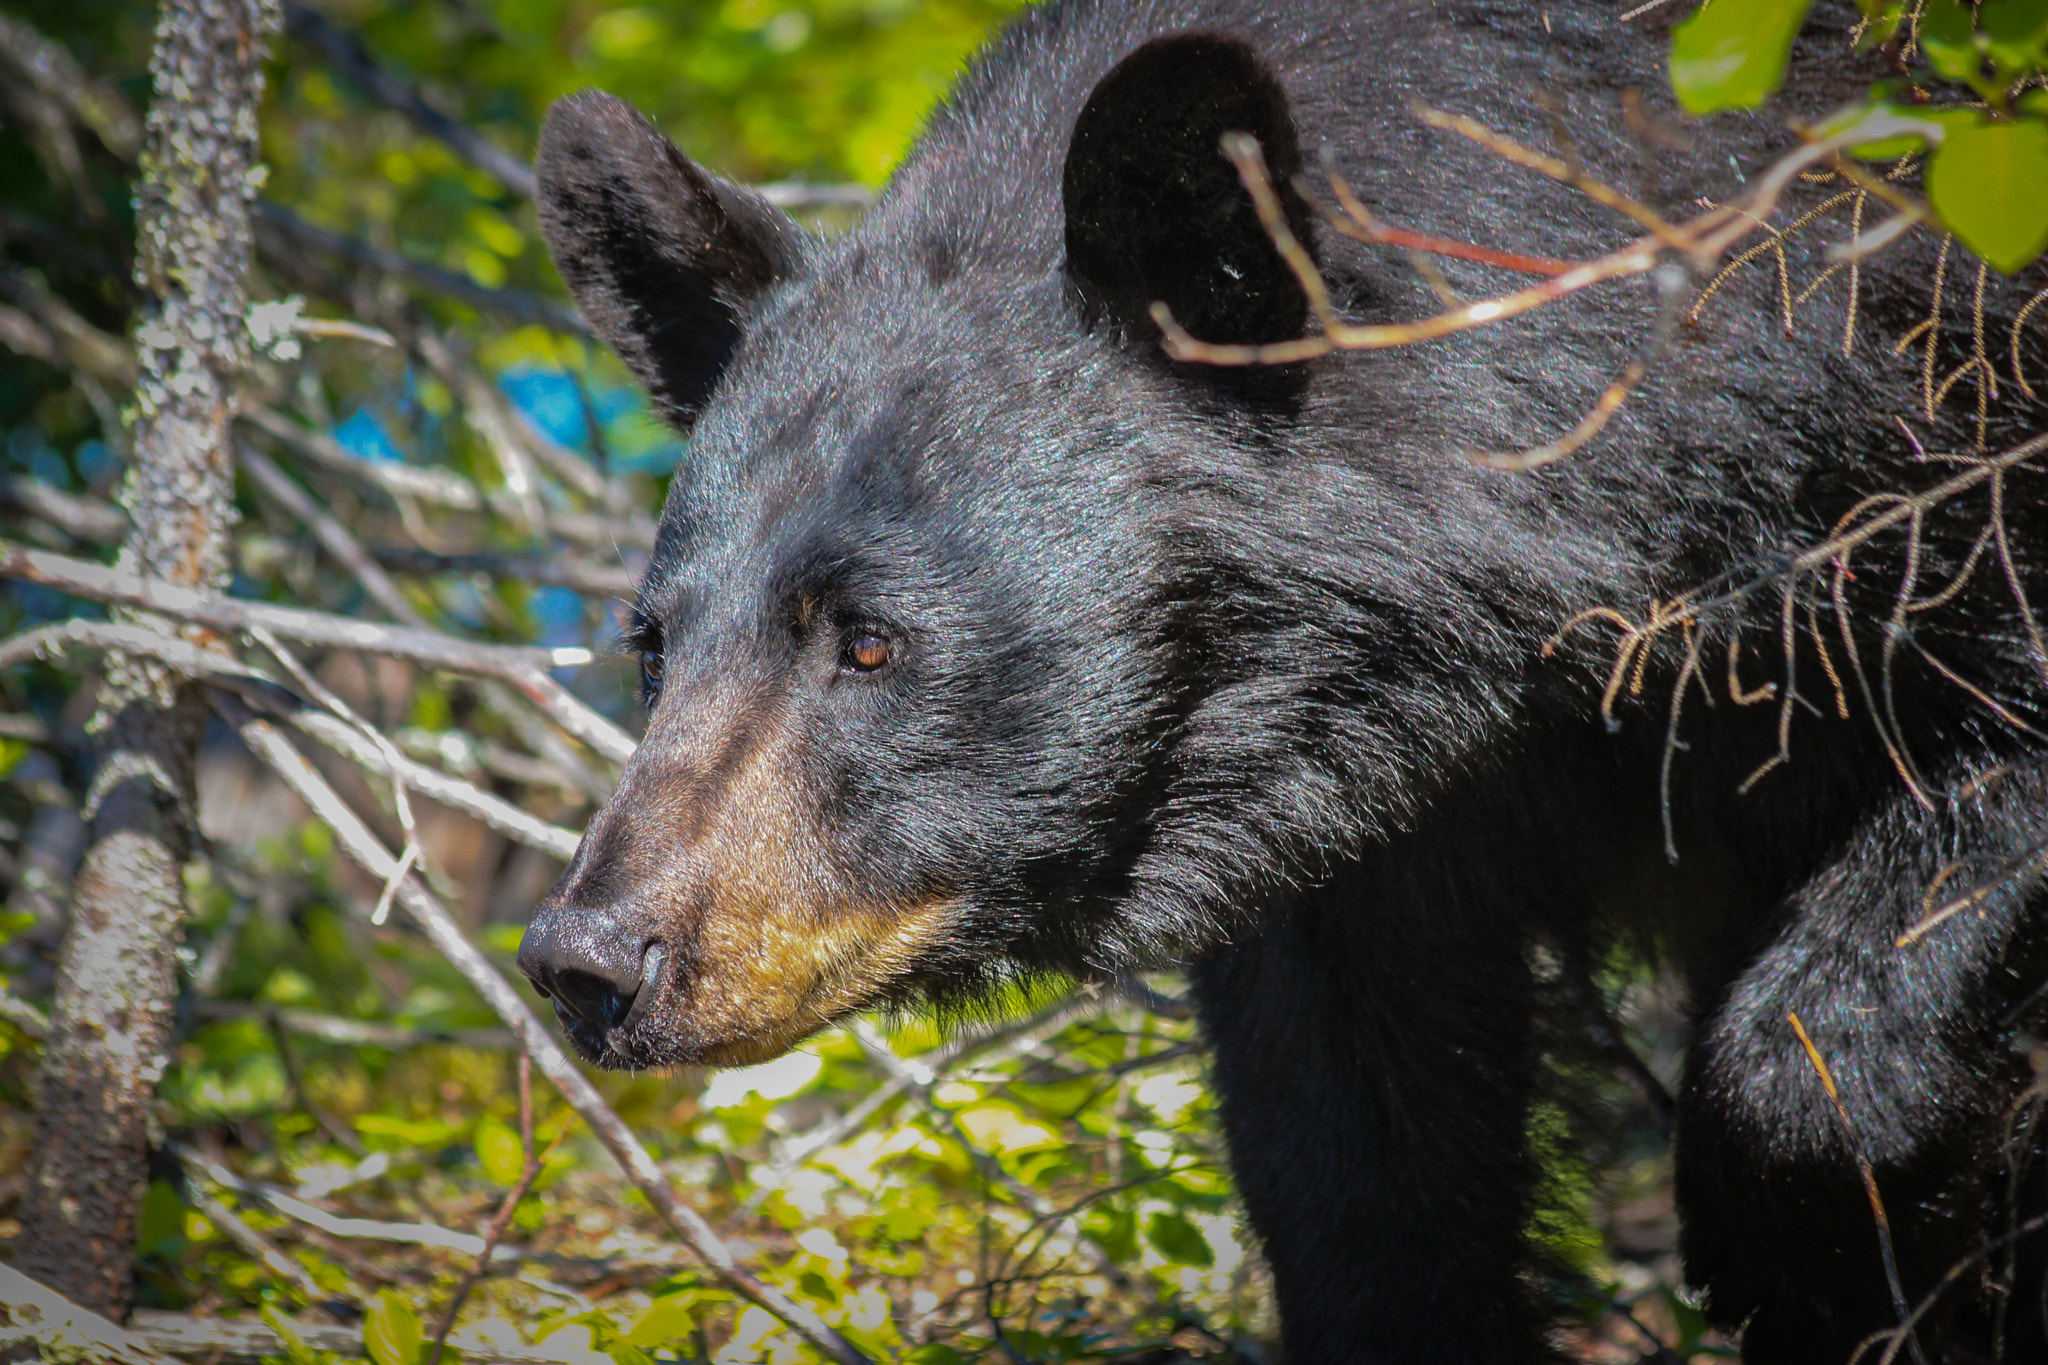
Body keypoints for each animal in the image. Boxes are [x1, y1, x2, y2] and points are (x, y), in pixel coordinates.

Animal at [515, 1, 2048, 1360]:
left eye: (870, 641)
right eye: (652, 645)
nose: (590, 959)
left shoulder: (1920, 448)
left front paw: (1800, 1243)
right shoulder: (1351, 829)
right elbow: (1359, 1155)